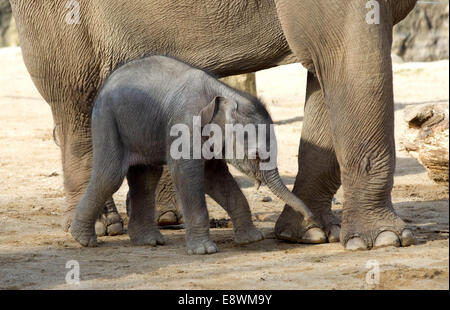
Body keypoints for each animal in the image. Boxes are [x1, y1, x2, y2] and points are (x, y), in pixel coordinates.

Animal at [71, 55, 316, 254]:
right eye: (256, 155)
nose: (310, 217)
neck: (223, 93)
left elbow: (215, 178)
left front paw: (252, 239)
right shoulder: (185, 125)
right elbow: (188, 174)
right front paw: (205, 251)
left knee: (147, 177)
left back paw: (149, 241)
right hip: (107, 120)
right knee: (110, 176)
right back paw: (84, 240)